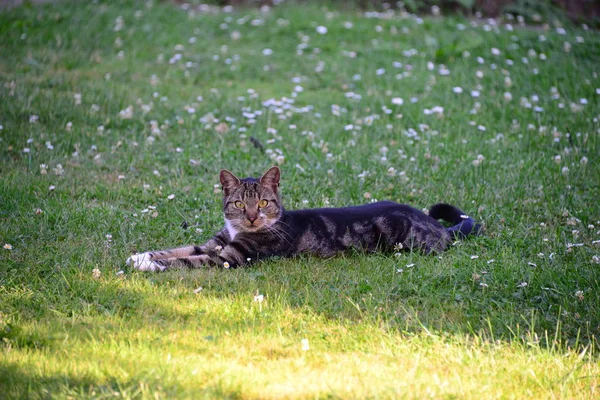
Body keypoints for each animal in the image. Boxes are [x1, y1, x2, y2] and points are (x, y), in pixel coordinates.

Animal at [127, 166, 482, 272]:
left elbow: (184, 261)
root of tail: (438, 226)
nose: (253, 218)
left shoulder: (230, 257)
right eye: (240, 204)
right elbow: (178, 249)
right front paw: (141, 256)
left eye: (264, 203)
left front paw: (151, 266)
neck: (236, 231)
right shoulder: (214, 244)